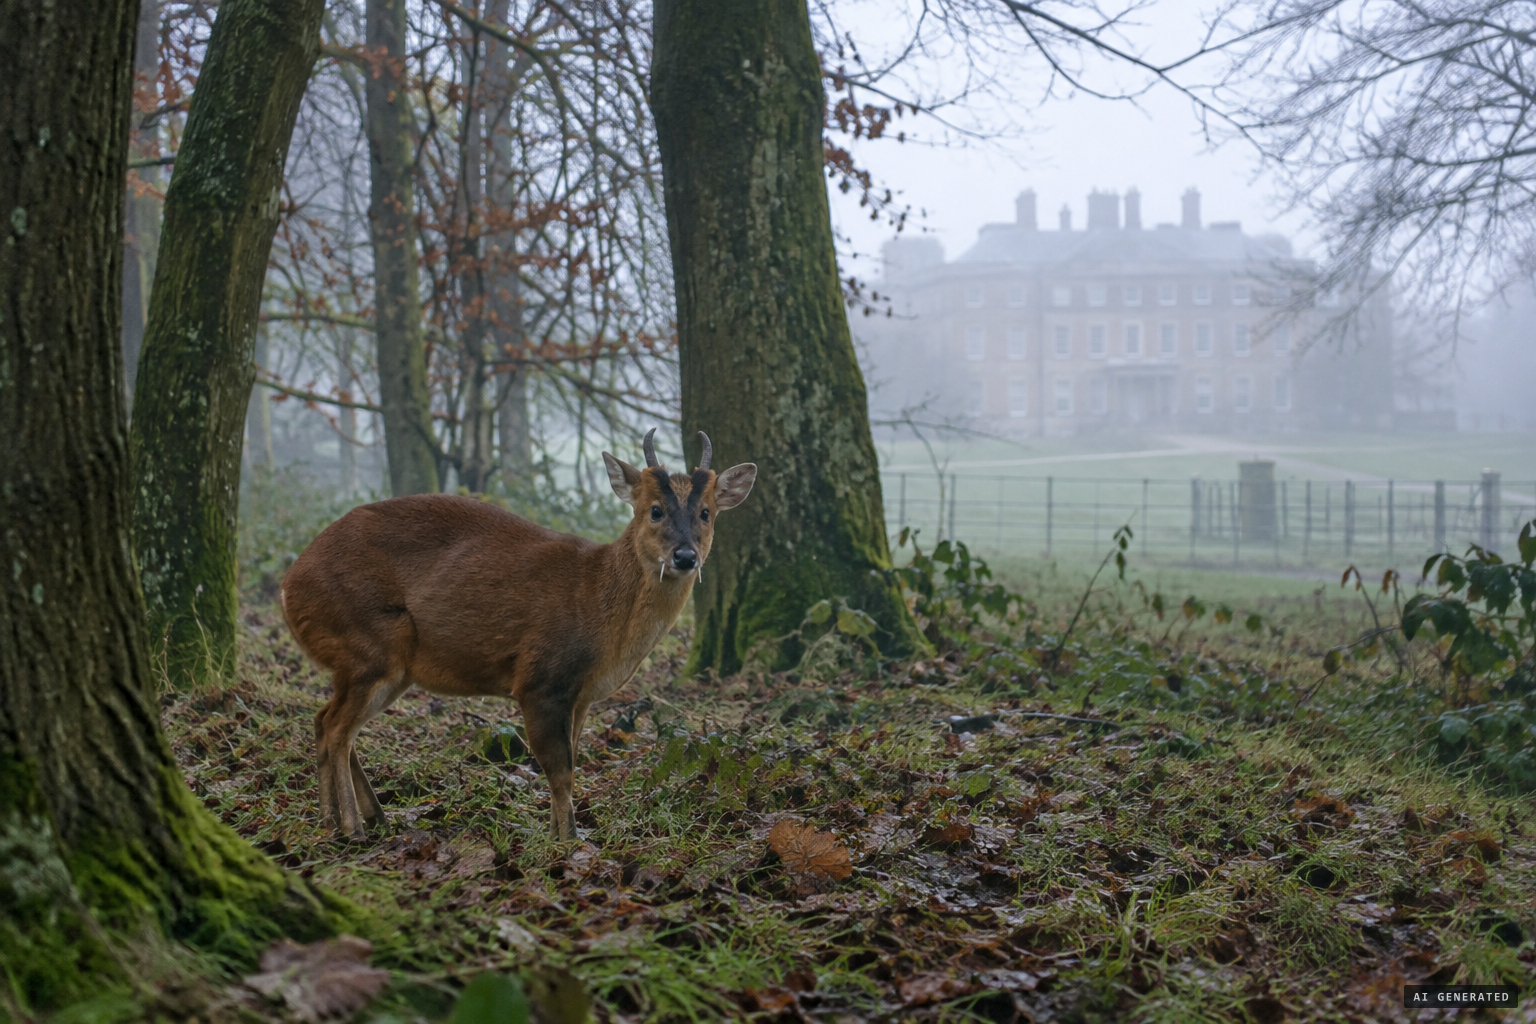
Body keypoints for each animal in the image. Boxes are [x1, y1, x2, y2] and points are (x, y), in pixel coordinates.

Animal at [280, 429, 756, 840]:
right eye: (655, 509)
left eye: (706, 513)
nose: (685, 556)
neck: (599, 607)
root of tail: (288, 586)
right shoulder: (540, 678)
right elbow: (559, 768)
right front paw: (570, 839)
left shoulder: (580, 695)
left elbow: (572, 761)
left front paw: (556, 832)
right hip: (366, 645)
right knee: (337, 728)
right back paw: (351, 827)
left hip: (382, 667)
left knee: (325, 720)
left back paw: (351, 818)